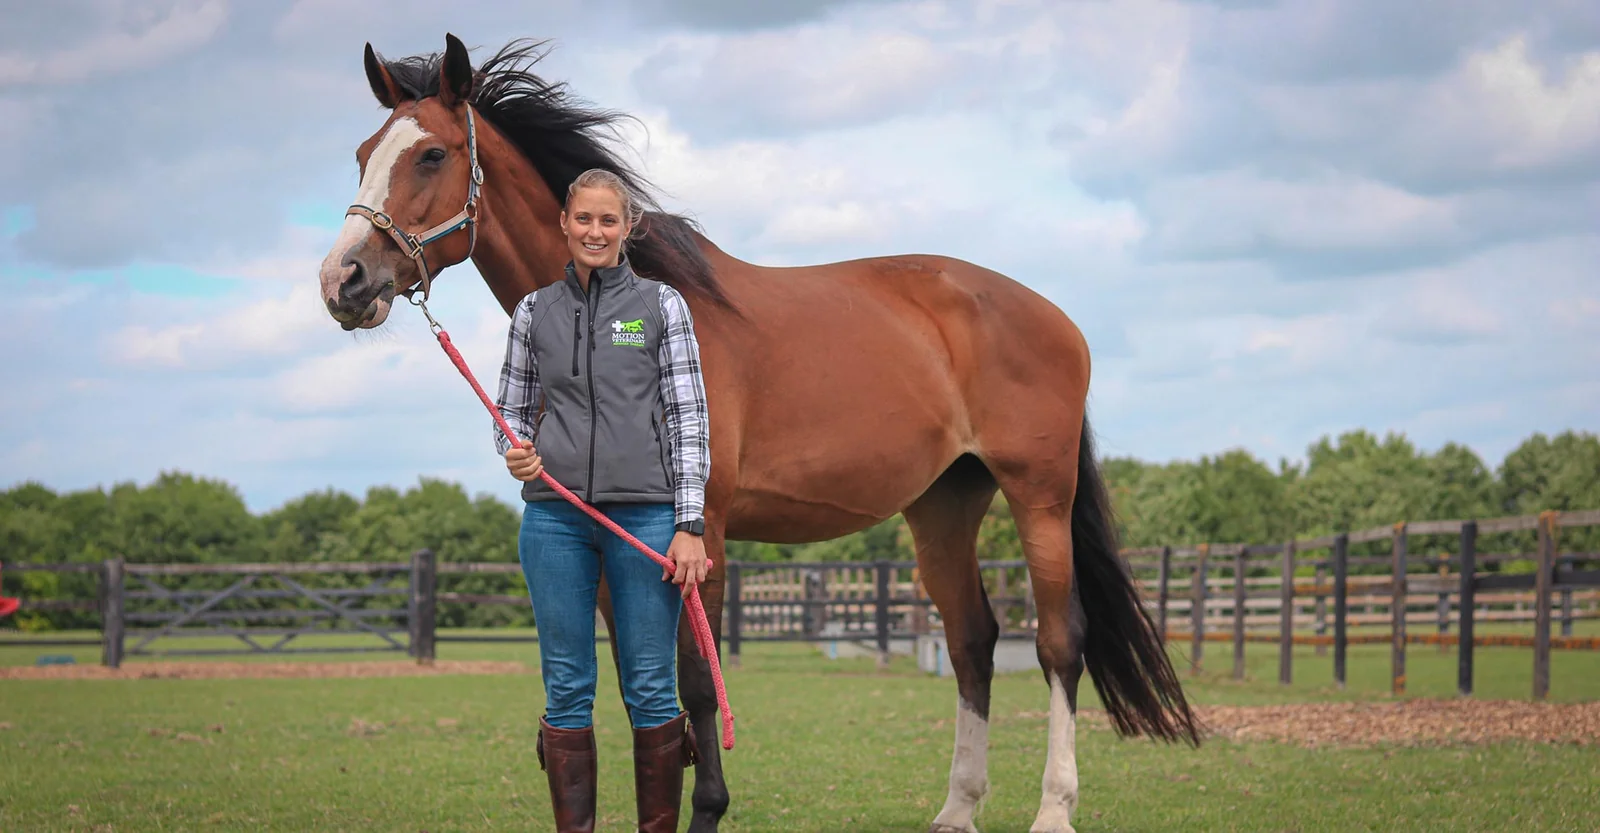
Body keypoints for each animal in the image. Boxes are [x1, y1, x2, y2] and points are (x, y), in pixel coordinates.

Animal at [315, 34, 1200, 833]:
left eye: (431, 154)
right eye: (360, 153)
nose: (342, 280)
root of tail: (1053, 317)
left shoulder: (699, 530)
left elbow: (696, 679)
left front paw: (706, 808)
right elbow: (639, 685)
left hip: (1039, 497)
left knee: (1058, 641)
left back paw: (1054, 808)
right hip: (943, 505)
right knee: (973, 641)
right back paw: (956, 809)